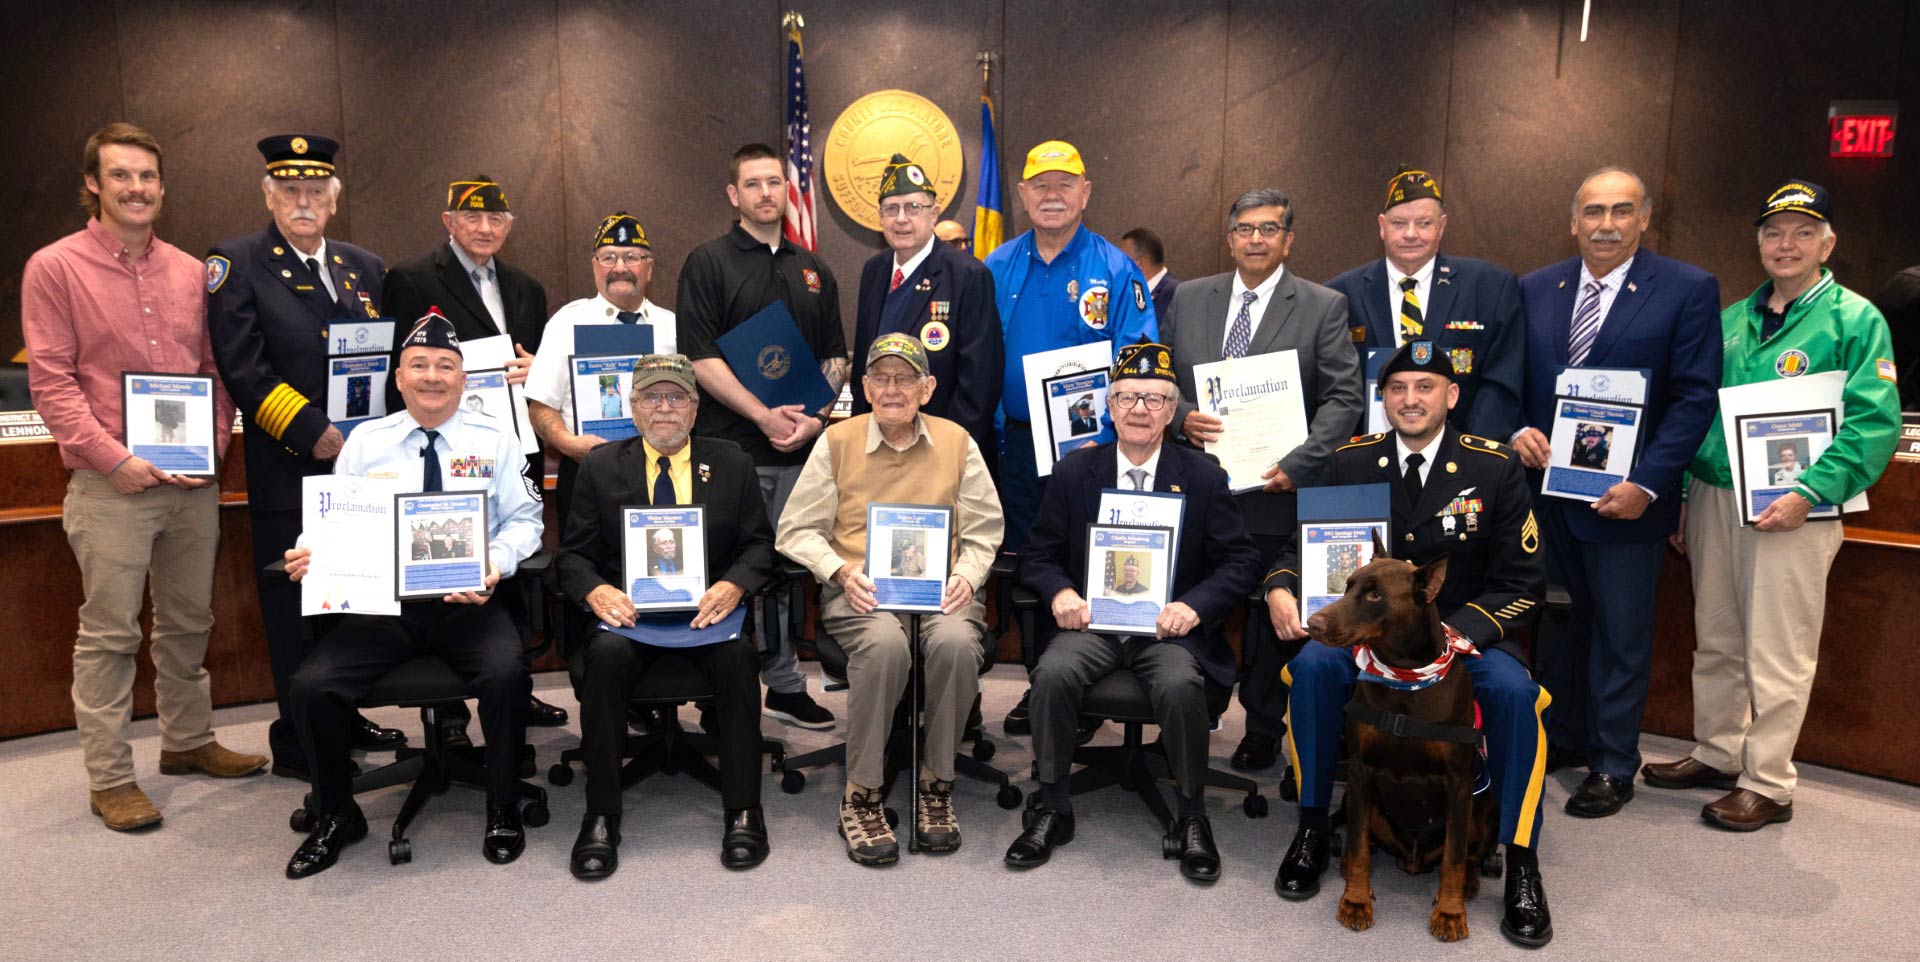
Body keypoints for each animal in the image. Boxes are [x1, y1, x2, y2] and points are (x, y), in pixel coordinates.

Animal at [1305, 537, 1497, 940]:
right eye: (1349, 585)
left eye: (1375, 594)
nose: (1313, 624)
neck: (1404, 678)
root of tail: (1412, 860)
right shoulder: (1360, 773)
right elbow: (1359, 848)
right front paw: (1356, 900)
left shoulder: (1458, 783)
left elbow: (1454, 857)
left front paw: (1449, 912)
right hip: (1355, 799)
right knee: (1366, 841)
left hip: (1486, 806)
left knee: (1469, 854)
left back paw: (1469, 882)